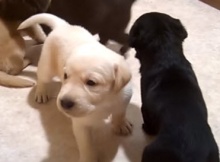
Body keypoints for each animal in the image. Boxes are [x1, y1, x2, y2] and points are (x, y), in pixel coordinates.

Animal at [18, 13, 132, 162]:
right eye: (65, 75)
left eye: (91, 82)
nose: (64, 103)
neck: (103, 102)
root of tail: (64, 25)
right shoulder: (81, 125)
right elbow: (86, 146)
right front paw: (89, 158)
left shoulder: (124, 98)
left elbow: (120, 112)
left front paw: (121, 124)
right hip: (47, 65)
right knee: (42, 79)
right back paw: (41, 92)